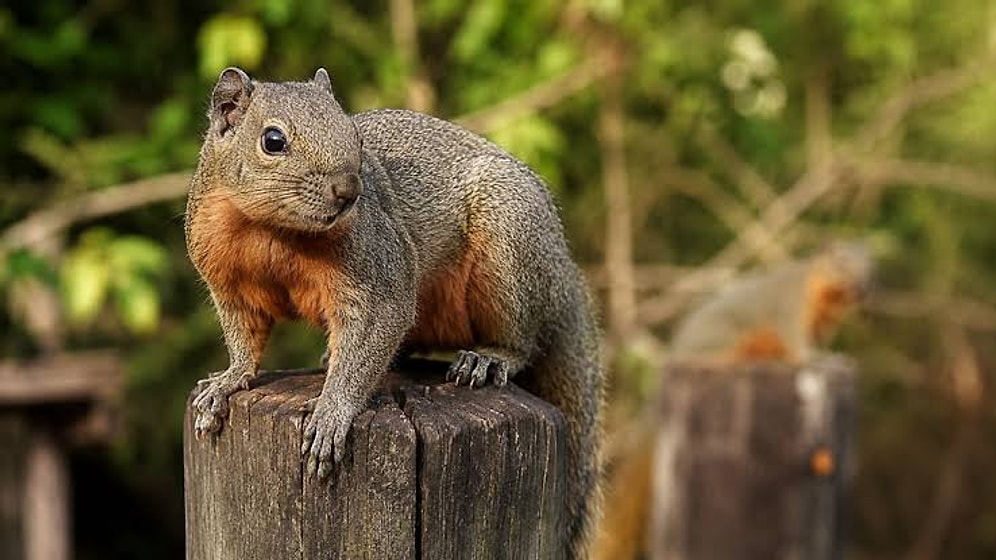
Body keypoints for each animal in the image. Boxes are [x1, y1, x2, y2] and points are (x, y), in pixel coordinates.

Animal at [184, 67, 604, 558]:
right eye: (273, 140)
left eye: (355, 135)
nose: (349, 191)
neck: (271, 230)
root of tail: (562, 269)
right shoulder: (228, 284)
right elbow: (243, 341)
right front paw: (226, 382)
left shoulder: (380, 275)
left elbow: (372, 331)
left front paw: (332, 412)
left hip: (510, 244)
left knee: (521, 342)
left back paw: (487, 359)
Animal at [592, 242, 873, 560]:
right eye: (842, 264)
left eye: (870, 267)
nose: (863, 287)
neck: (825, 296)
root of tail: (675, 353)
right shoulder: (788, 309)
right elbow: (798, 347)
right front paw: (824, 359)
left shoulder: (822, 325)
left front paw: (834, 355)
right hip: (721, 339)